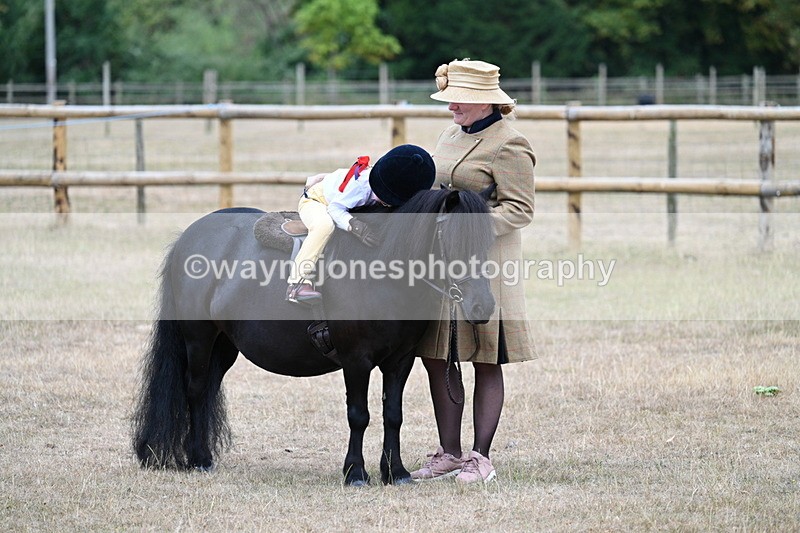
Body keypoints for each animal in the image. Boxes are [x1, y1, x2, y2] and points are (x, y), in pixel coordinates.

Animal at [131, 186, 496, 486]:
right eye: (454, 238)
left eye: (489, 239)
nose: (483, 306)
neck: (382, 268)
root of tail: (189, 237)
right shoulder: (356, 359)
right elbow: (358, 415)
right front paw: (355, 473)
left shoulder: (401, 361)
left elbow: (393, 414)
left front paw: (396, 472)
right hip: (199, 339)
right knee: (194, 390)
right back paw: (200, 459)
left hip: (224, 347)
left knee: (207, 389)